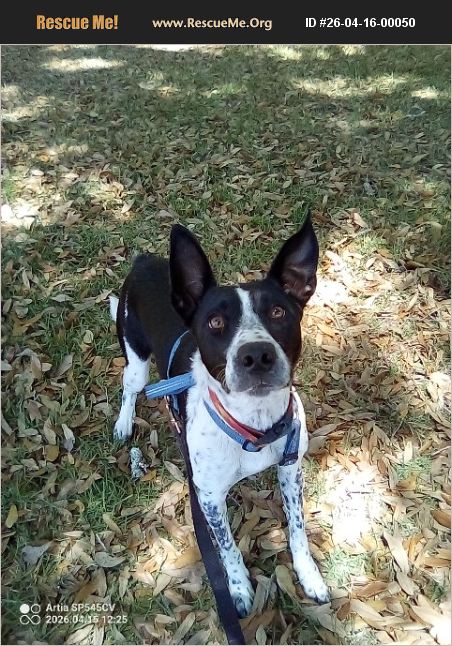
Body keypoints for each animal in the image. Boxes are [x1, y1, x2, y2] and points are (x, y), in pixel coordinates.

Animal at [109, 215, 330, 616]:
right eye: (214, 322)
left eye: (278, 312)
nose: (256, 355)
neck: (255, 424)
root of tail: (145, 261)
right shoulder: (209, 497)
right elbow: (227, 548)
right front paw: (239, 589)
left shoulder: (291, 471)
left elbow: (297, 529)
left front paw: (309, 576)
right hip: (136, 361)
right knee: (129, 388)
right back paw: (123, 422)